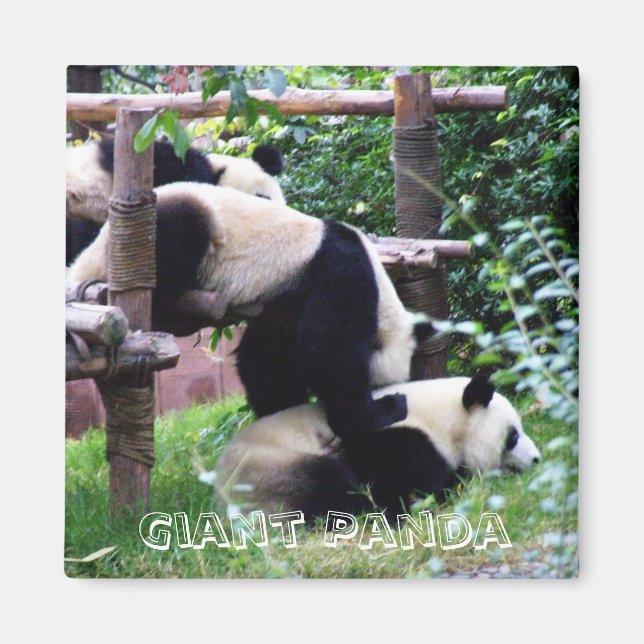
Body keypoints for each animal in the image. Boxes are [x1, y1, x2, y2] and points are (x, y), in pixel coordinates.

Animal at [67, 182, 434, 440]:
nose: (383, 393)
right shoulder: (339, 273)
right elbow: (329, 353)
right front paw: (380, 412)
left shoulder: (283, 308)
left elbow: (266, 358)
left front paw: (281, 411)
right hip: (160, 230)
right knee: (181, 228)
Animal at [214, 375, 541, 519]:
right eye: (513, 436)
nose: (537, 459)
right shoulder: (398, 439)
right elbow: (402, 481)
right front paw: (449, 486)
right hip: (269, 473)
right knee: (329, 487)